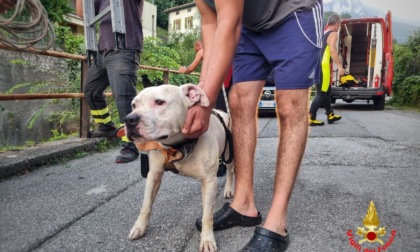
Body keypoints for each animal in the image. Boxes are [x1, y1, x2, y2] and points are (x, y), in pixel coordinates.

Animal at [124, 83, 236, 251]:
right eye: (133, 105)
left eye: (159, 102)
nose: (129, 119)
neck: (177, 146)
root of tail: (222, 113)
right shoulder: (154, 174)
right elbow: (146, 204)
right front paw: (139, 227)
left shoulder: (209, 181)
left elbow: (207, 215)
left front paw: (207, 239)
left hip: (229, 152)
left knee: (230, 171)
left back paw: (229, 189)